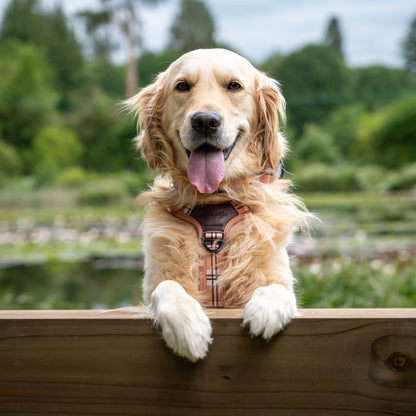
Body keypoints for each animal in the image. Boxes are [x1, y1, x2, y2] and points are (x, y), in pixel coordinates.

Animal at [128, 48, 310, 360]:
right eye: (182, 86)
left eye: (234, 86)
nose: (204, 121)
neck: (214, 202)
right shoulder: (155, 279)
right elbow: (166, 286)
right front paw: (187, 327)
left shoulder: (277, 274)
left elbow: (278, 288)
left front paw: (265, 310)